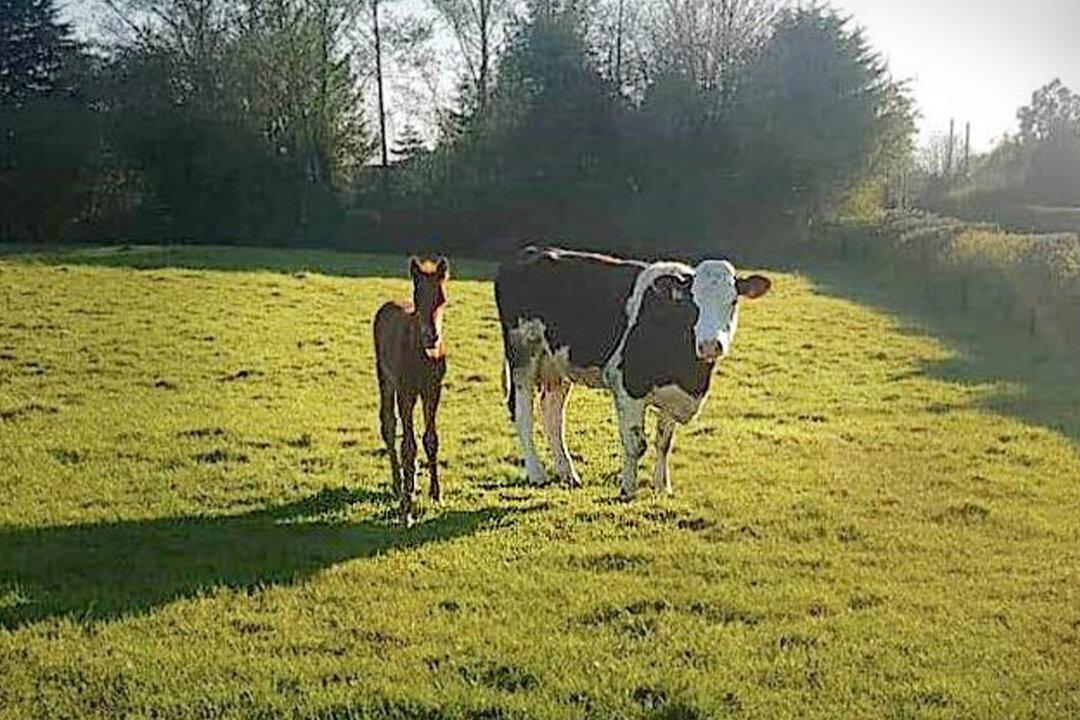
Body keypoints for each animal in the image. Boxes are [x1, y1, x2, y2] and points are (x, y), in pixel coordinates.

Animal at [373, 256, 449, 525]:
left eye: (441, 299)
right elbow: (408, 445)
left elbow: (430, 439)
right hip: (385, 379)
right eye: (418, 298)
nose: (432, 337)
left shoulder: (432, 391)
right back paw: (399, 485)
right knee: (388, 424)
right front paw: (407, 508)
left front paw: (436, 494)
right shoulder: (405, 392)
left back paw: (411, 482)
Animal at [494, 246, 770, 498]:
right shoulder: (627, 386)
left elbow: (663, 442)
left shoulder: (672, 396)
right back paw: (536, 473)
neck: (689, 374)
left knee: (552, 416)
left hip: (556, 364)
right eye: (692, 304)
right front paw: (627, 489)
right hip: (522, 355)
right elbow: (636, 444)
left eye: (733, 301)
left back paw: (568, 473)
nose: (711, 345)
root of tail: (529, 252)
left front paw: (662, 487)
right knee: (523, 414)